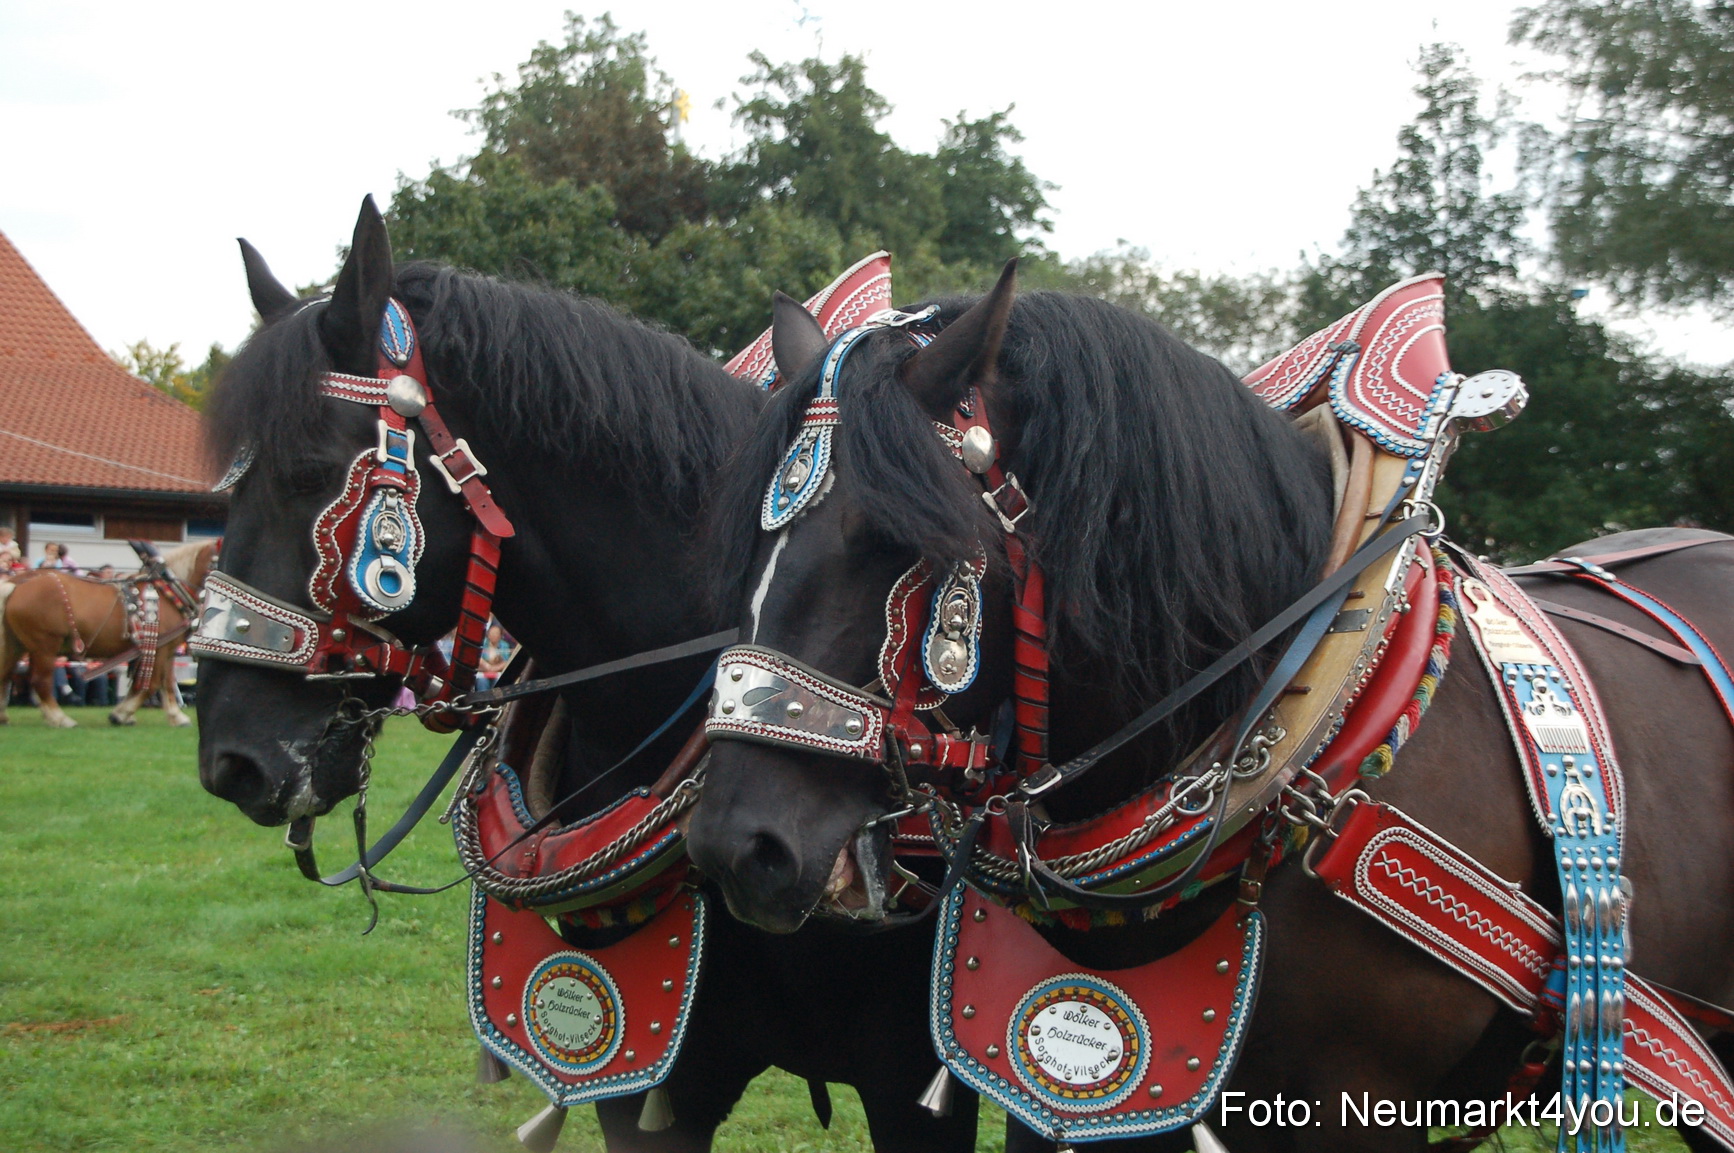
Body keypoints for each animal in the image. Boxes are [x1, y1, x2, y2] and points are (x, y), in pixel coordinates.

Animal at [0, 540, 215, 728]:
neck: (168, 592)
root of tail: (18, 582)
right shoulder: (159, 649)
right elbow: (151, 684)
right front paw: (121, 714)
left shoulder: (167, 649)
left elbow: (168, 683)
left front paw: (176, 717)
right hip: (44, 646)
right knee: (40, 681)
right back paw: (60, 718)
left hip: (15, 644)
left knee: (6, 674)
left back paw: (5, 717)